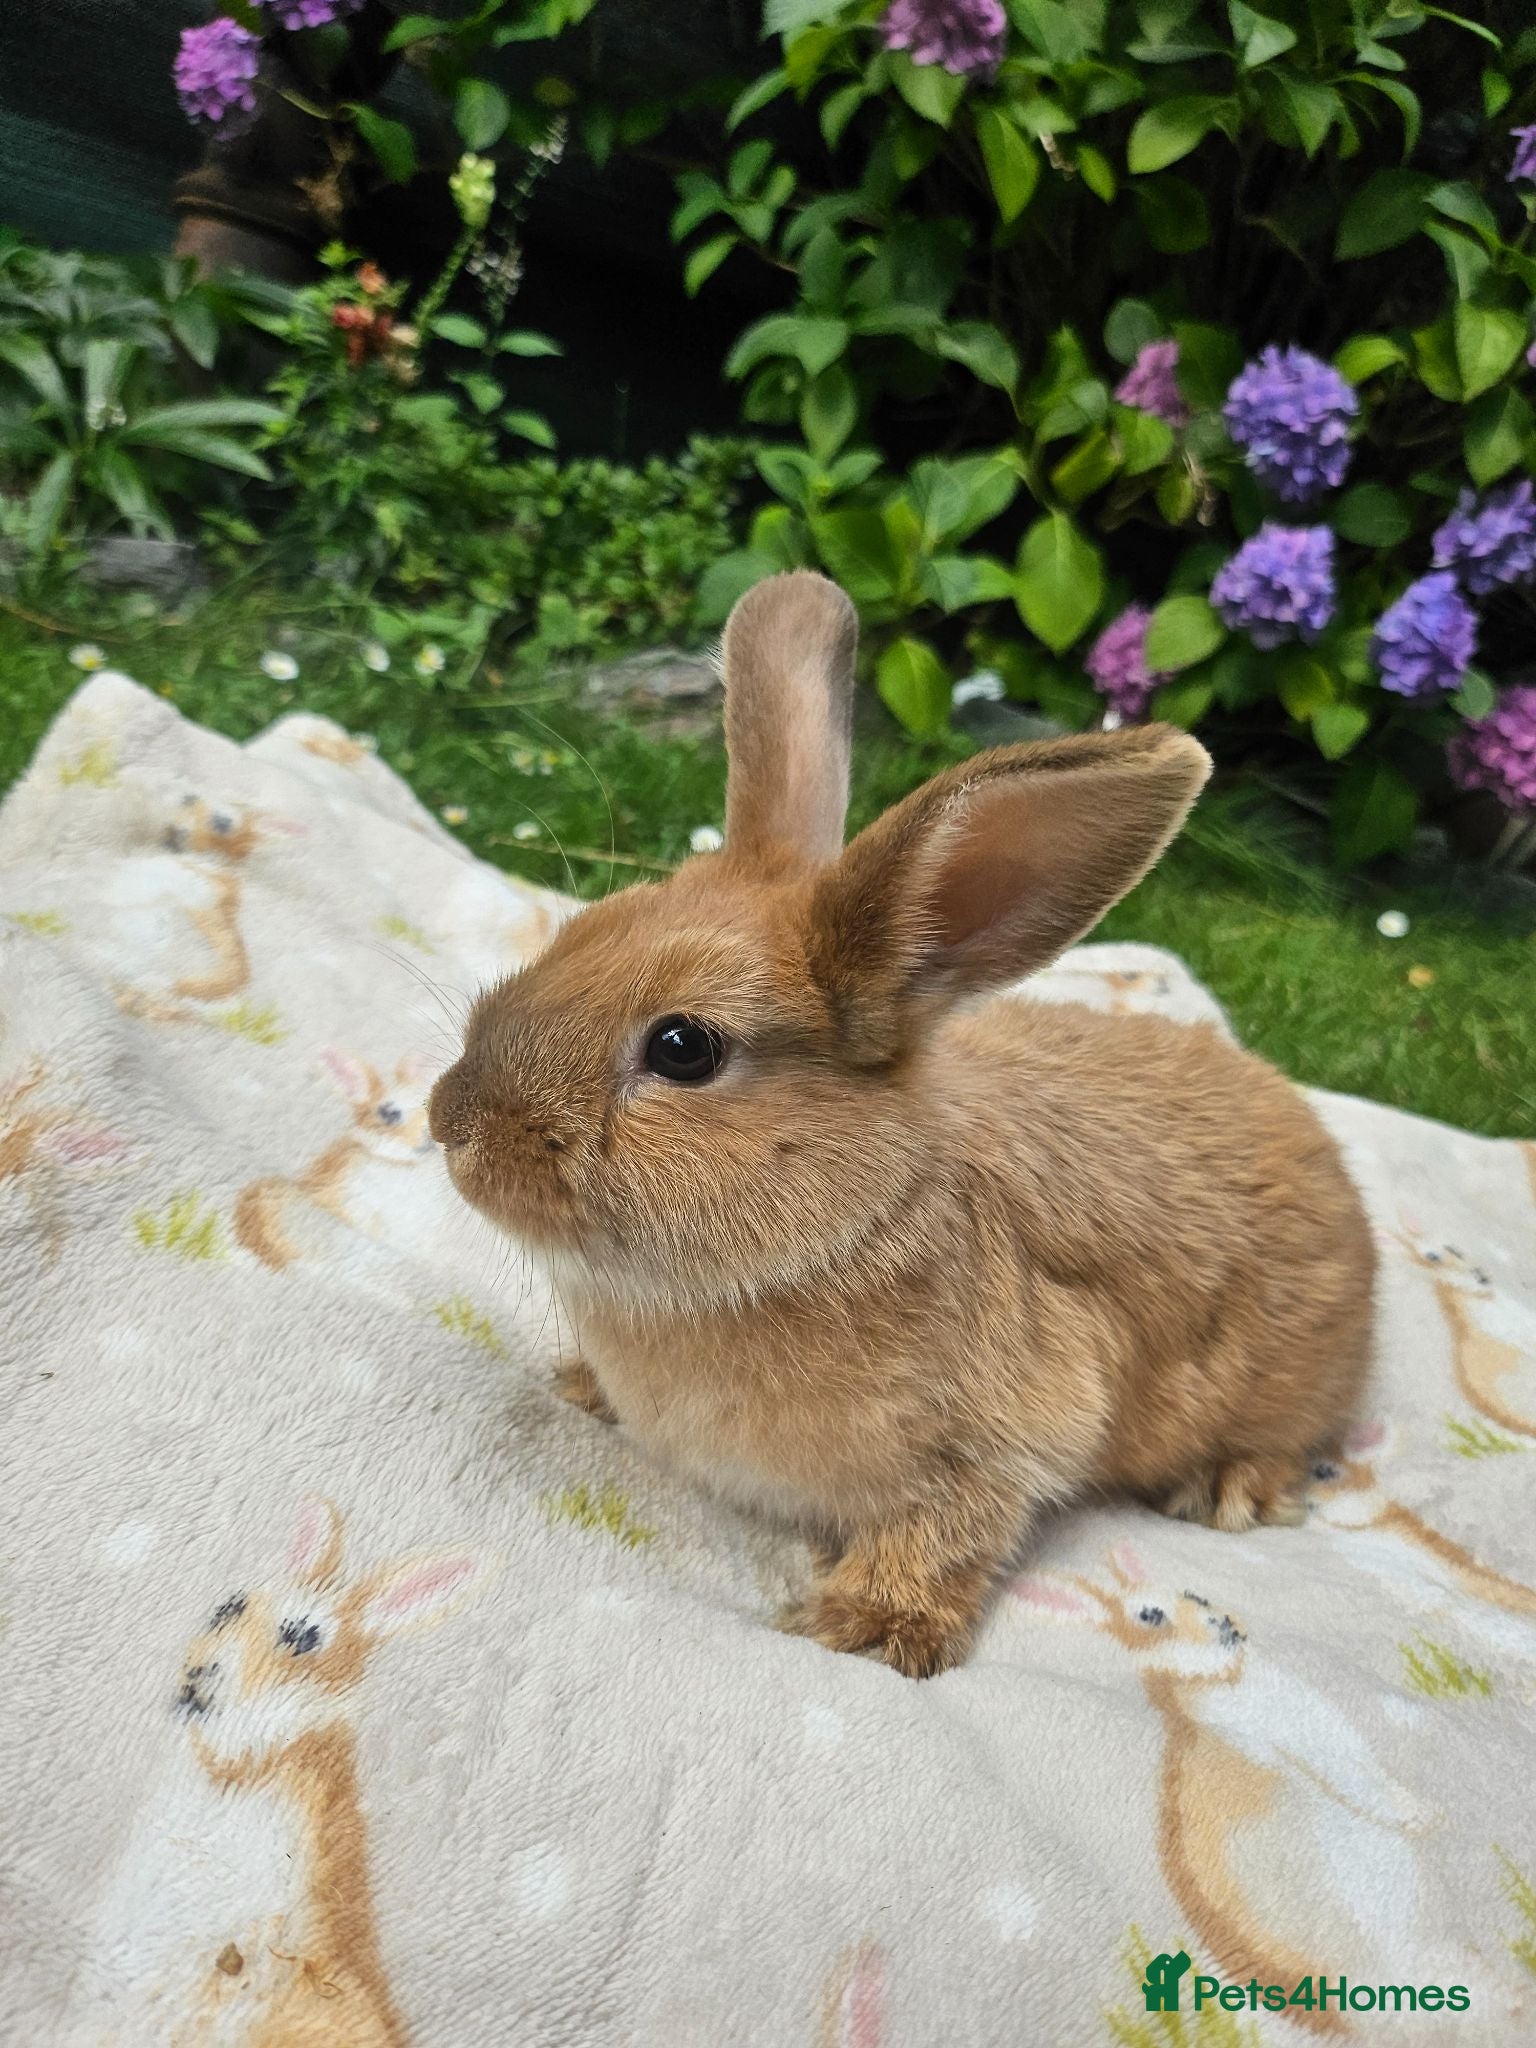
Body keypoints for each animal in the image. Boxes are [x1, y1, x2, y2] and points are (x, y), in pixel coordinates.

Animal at [428, 570, 1376, 1677]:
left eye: (683, 1048)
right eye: (580, 930)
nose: (451, 1121)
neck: (853, 1224)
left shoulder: (1000, 1438)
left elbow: (947, 1530)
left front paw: (868, 1627)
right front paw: (579, 1383)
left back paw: (1231, 1488)